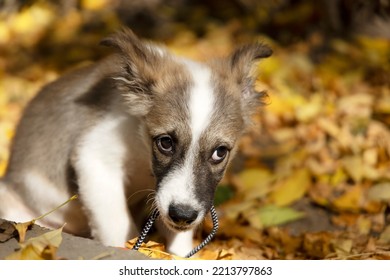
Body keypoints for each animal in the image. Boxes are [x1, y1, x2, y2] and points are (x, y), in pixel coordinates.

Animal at [0, 27, 272, 258]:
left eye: (220, 152)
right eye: (165, 142)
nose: (182, 216)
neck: (142, 150)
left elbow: (177, 242)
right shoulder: (96, 160)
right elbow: (120, 226)